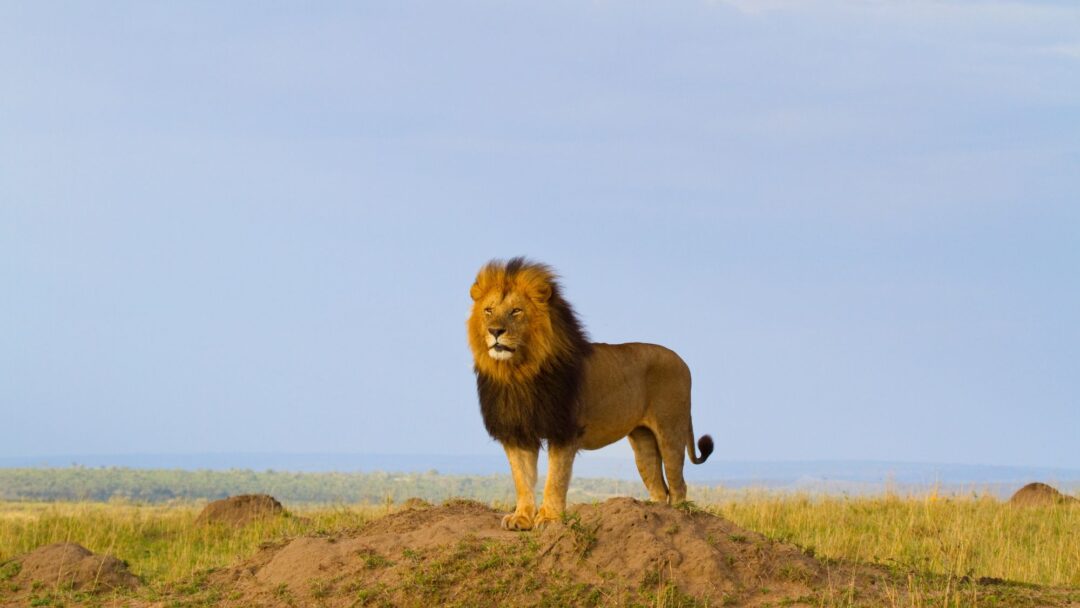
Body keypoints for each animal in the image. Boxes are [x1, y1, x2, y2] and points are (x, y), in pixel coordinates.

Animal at [468, 257, 713, 531]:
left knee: (678, 485)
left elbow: (555, 479)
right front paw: (521, 518)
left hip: (671, 429)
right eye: (489, 310)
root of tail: (682, 360)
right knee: (659, 487)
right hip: (643, 440)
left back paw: (678, 520)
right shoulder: (517, 433)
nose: (495, 331)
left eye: (516, 311)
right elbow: (522, 479)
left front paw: (549, 518)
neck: (518, 373)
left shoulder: (564, 430)